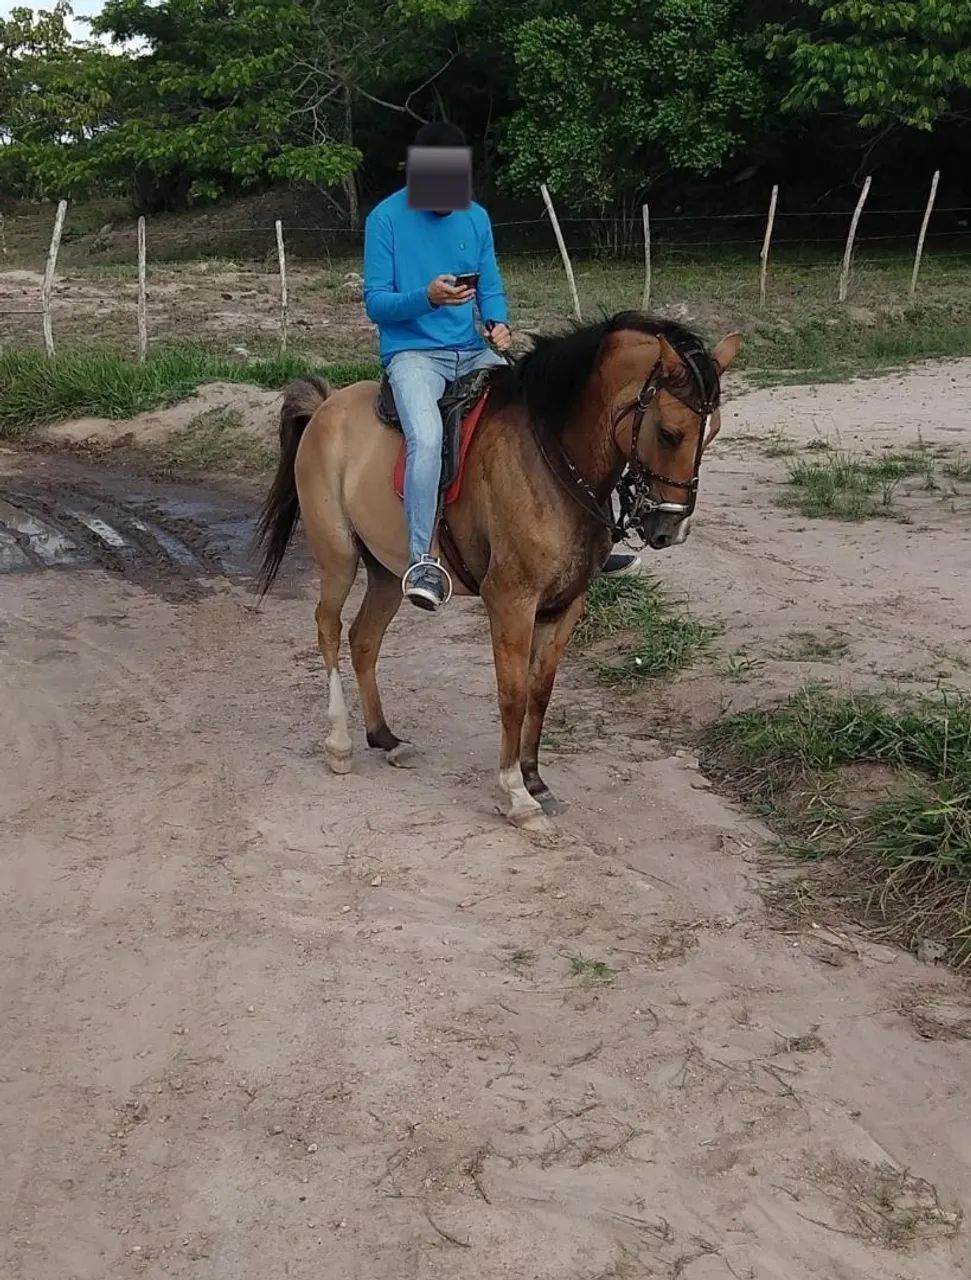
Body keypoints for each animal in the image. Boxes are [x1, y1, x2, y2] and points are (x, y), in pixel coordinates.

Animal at [254, 312, 741, 831]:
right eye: (669, 432)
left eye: (712, 432)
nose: (672, 528)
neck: (551, 456)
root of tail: (328, 405)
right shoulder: (511, 603)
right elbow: (512, 695)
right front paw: (516, 794)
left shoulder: (565, 605)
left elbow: (540, 694)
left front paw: (535, 780)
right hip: (338, 557)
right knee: (328, 628)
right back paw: (340, 744)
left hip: (386, 572)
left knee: (364, 639)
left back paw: (385, 738)